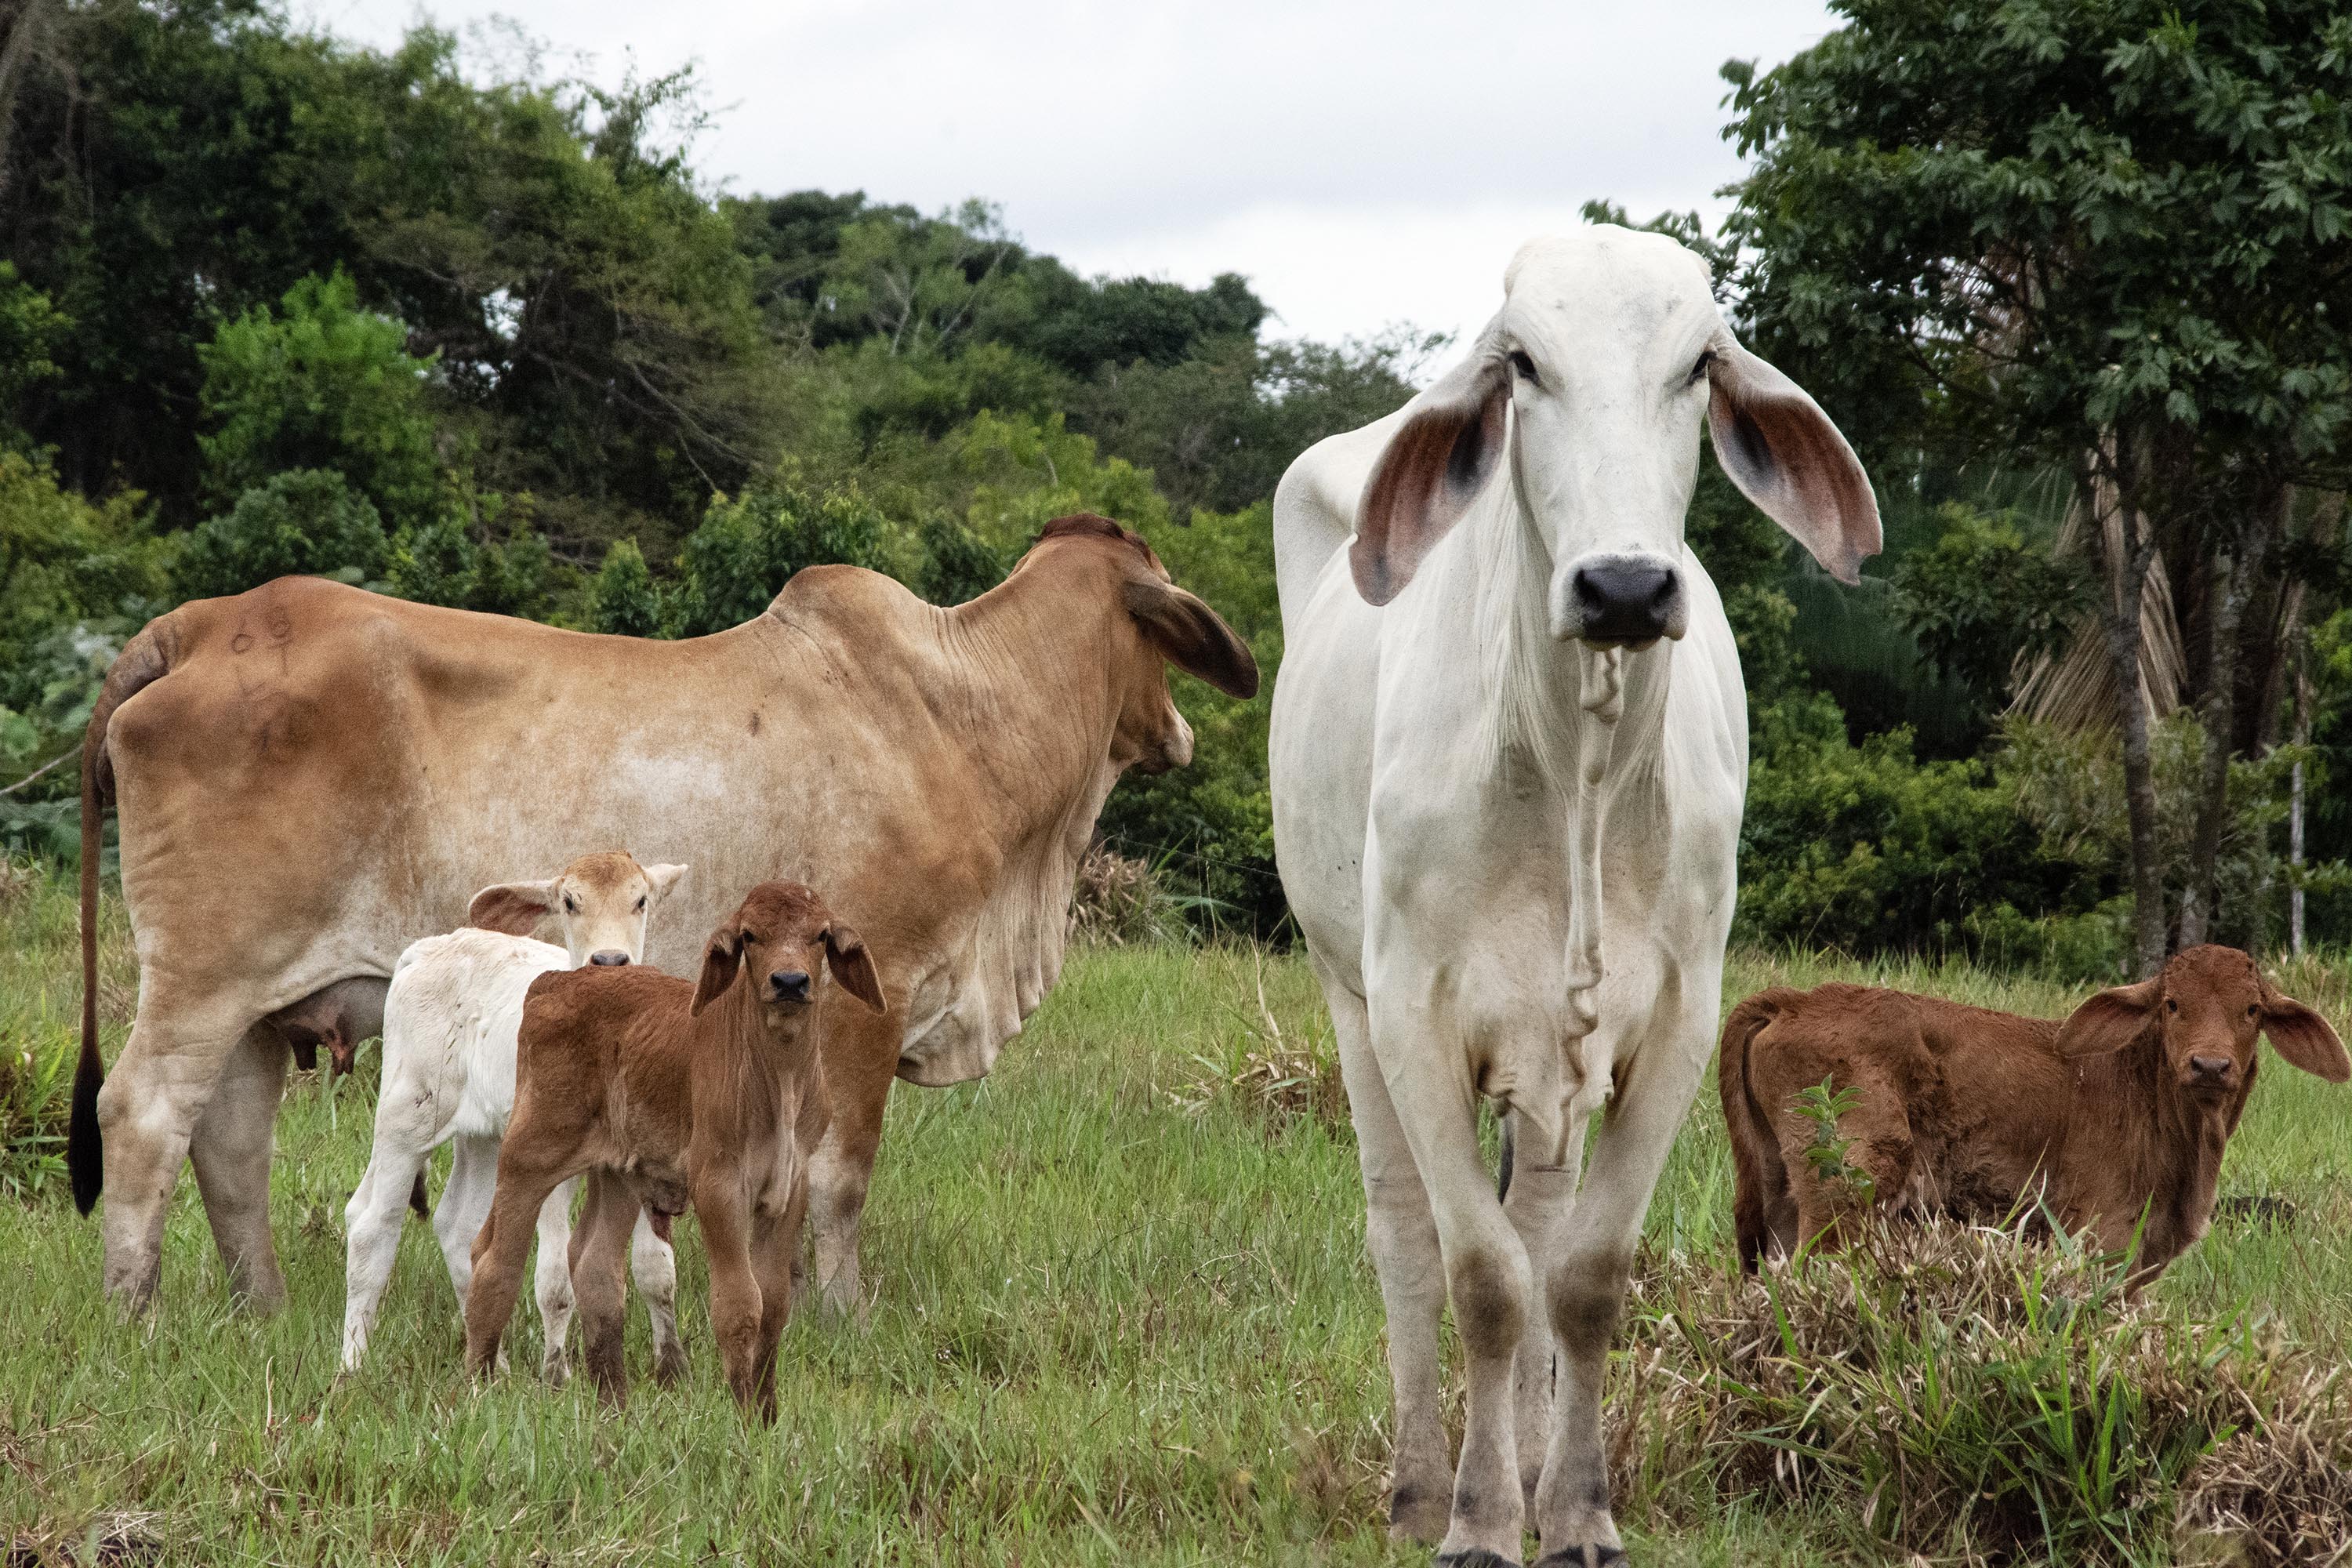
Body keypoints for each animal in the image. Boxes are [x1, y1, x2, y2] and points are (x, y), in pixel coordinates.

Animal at [68, 512, 1257, 1315]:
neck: (964, 716)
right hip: (204, 974)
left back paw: (260, 1307)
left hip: (262, 1002)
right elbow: (842, 1178)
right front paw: (844, 1313)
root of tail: (205, 623)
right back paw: (134, 1309)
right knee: (145, 1114)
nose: (1187, 733)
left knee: (229, 1141)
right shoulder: (870, 996)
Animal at [341, 851, 689, 1380]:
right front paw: (556, 1374)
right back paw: (353, 1365)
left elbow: (657, 1269)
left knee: (457, 1225)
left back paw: (494, 1362)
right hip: (409, 1110)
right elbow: (555, 1279)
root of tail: (428, 947)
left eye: (641, 899)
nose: (609, 960)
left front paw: (669, 1371)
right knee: (372, 1226)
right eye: (569, 902)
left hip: (485, 1134)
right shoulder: (549, 1161)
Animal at [464, 881, 884, 1419]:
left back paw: (615, 1406)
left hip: (618, 1172)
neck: (780, 1079)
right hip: (529, 1152)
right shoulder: (718, 1186)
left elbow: (774, 1304)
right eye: (751, 936)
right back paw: (476, 1389)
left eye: (821, 935)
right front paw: (742, 1416)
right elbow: (740, 1304)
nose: (790, 981)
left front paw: (766, 1414)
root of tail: (555, 983)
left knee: (595, 1268)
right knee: (495, 1263)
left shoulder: (790, 1187)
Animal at [1269, 225, 1880, 1566]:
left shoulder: (1681, 1021)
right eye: (1523, 365)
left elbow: (1583, 1276)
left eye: (1698, 365)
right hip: (1346, 992)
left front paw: (1580, 1511)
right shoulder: (1413, 1012)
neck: (1575, 768)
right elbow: (1483, 1280)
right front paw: (1477, 1522)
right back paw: (1419, 1485)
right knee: (1403, 1233)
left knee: (1541, 1225)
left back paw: (1538, 1475)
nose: (1625, 589)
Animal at [1719, 944, 2349, 1293]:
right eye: (2173, 1005)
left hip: (1779, 1194)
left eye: (2252, 1010)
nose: (2211, 1065)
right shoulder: (2102, 1240)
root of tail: (1796, 999)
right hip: (1846, 1195)